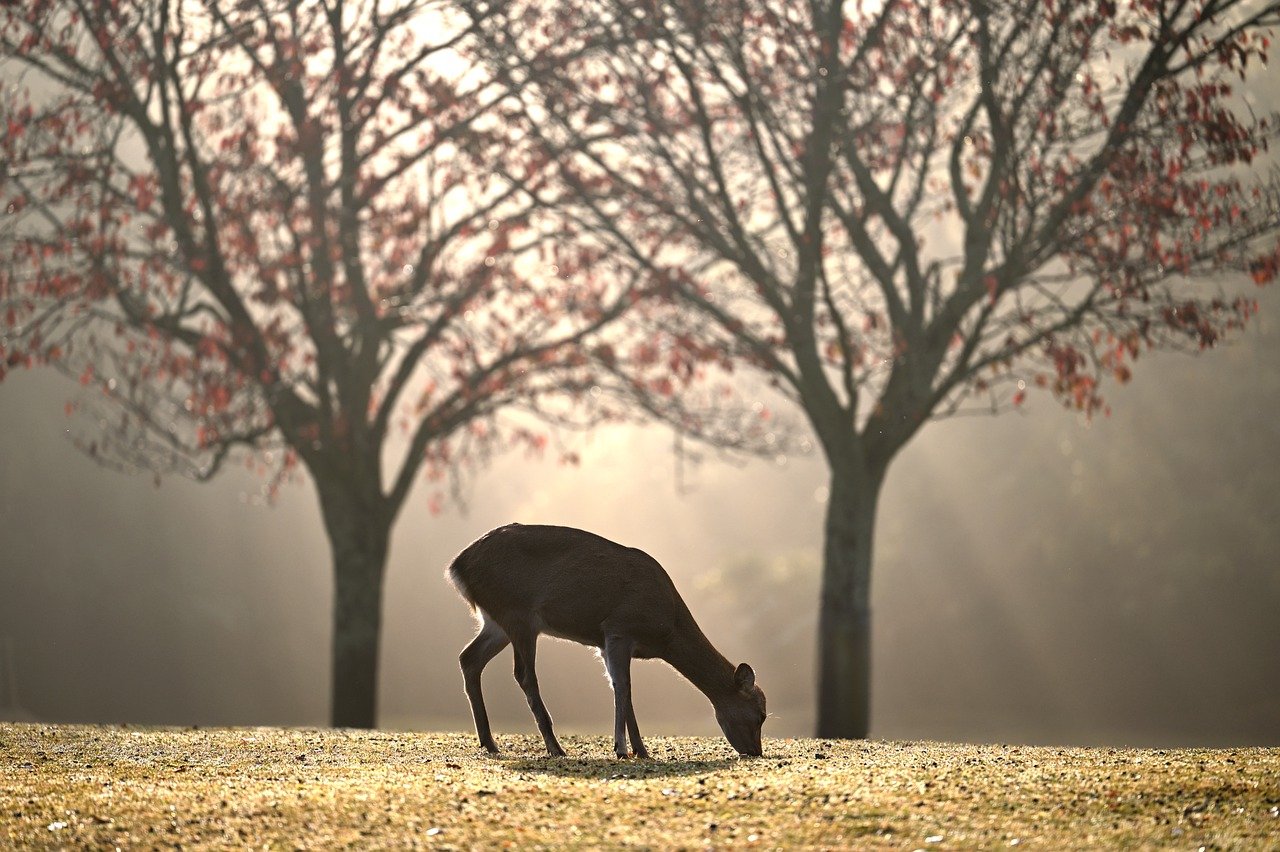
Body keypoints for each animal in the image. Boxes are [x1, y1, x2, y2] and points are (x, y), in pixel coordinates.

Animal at [448, 524, 762, 757]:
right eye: (760, 713)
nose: (755, 751)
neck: (667, 628)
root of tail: (456, 566)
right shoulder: (619, 628)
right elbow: (623, 686)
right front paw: (622, 748)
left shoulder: (603, 643)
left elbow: (620, 686)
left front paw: (640, 749)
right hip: (518, 614)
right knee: (523, 674)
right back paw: (555, 747)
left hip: (495, 622)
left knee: (469, 658)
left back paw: (490, 742)